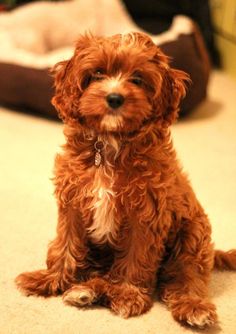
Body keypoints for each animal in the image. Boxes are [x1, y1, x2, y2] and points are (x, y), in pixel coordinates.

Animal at [15, 32, 236, 328]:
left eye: (138, 79)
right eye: (97, 74)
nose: (114, 98)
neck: (109, 143)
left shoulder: (146, 213)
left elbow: (136, 257)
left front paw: (128, 294)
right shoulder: (73, 202)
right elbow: (65, 245)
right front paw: (50, 279)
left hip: (192, 233)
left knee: (187, 276)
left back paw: (193, 307)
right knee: (102, 274)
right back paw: (85, 291)